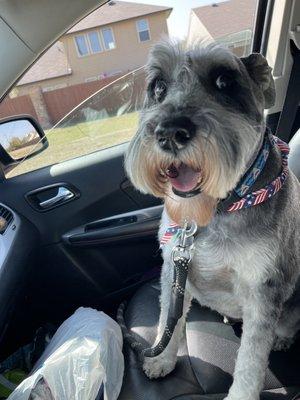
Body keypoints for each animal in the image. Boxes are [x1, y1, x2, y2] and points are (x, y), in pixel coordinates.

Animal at [123, 41, 300, 400]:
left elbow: (251, 359)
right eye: (158, 87)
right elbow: (169, 318)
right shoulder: (173, 269)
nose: (169, 133)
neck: (215, 211)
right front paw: (161, 359)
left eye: (224, 82)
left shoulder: (262, 292)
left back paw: (282, 338)